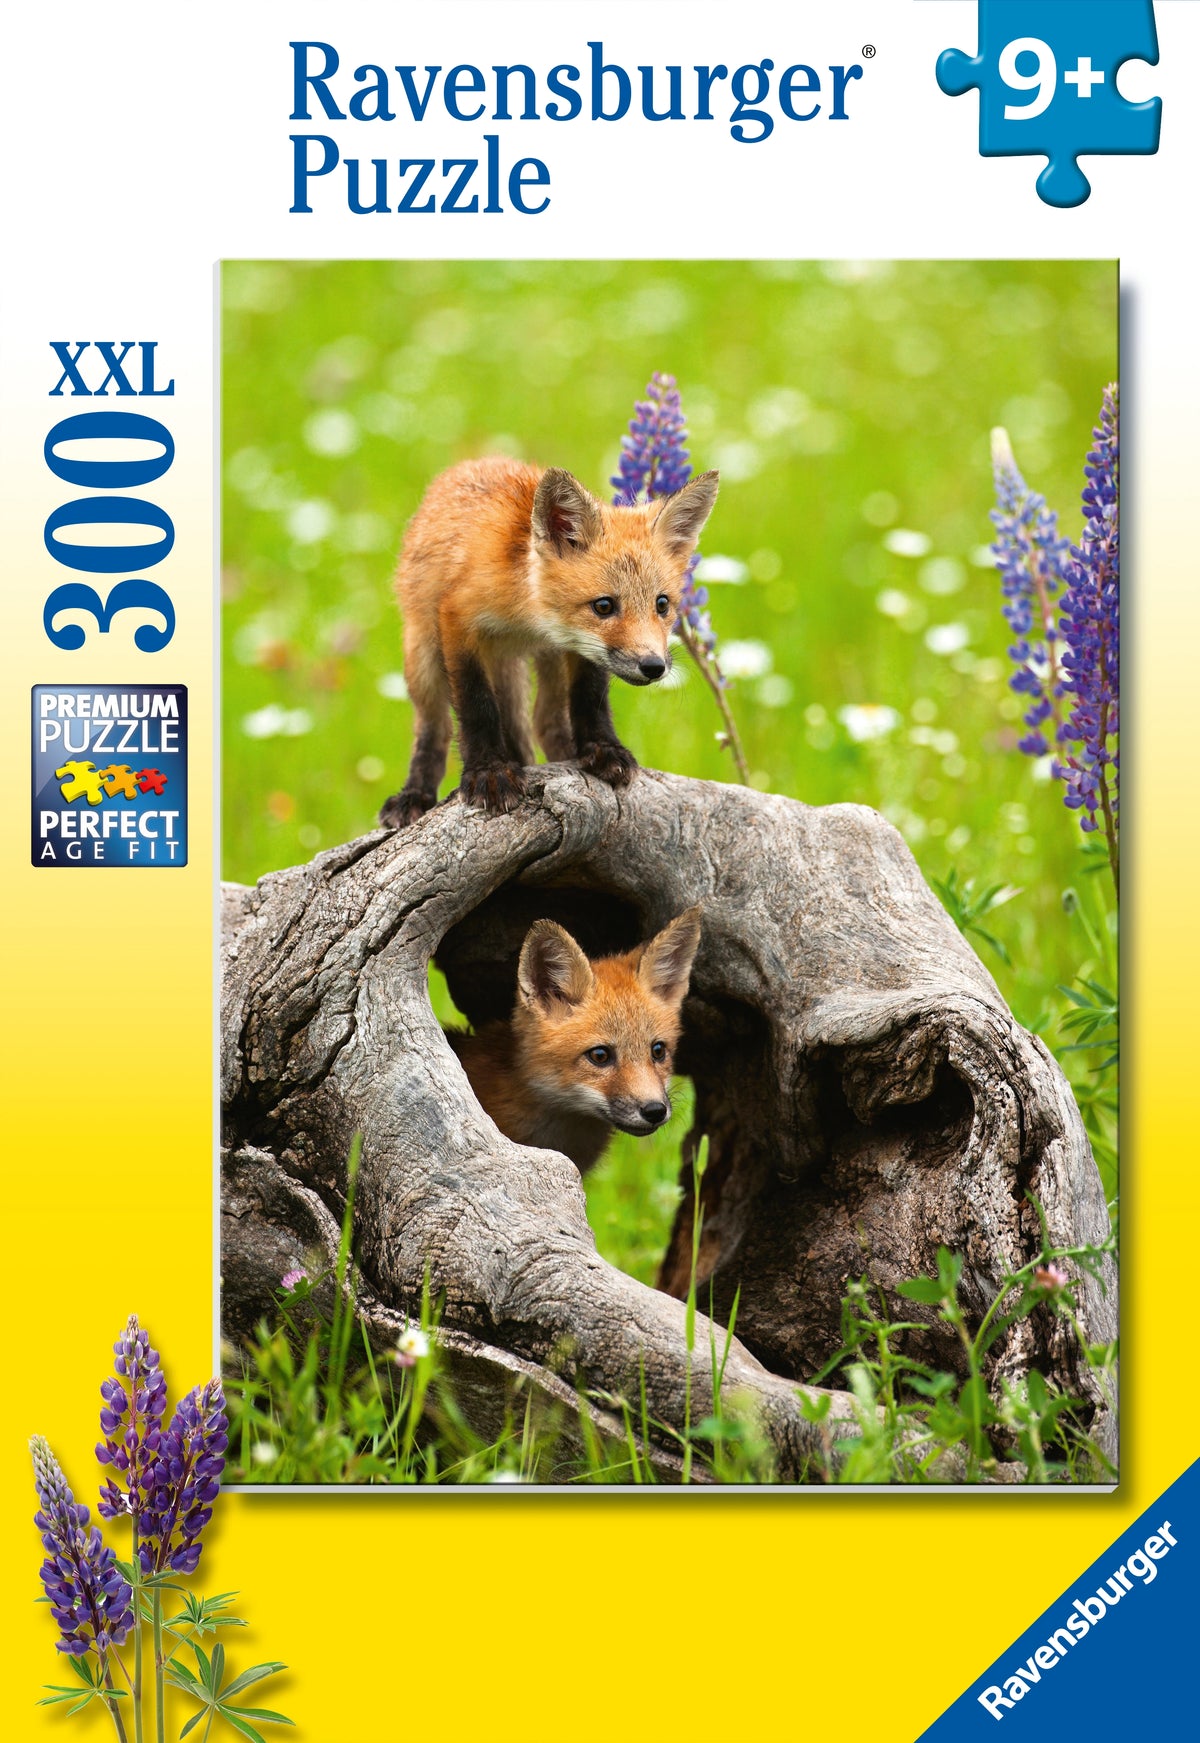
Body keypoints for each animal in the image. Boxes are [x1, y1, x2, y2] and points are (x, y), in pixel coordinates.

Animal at [379, 456, 719, 827]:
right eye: (604, 606)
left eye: (662, 604)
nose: (653, 666)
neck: (528, 615)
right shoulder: (457, 620)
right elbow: (477, 705)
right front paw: (489, 771)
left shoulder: (580, 648)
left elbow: (589, 698)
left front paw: (602, 749)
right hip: (423, 654)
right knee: (434, 728)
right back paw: (415, 794)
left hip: (549, 664)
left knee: (546, 719)